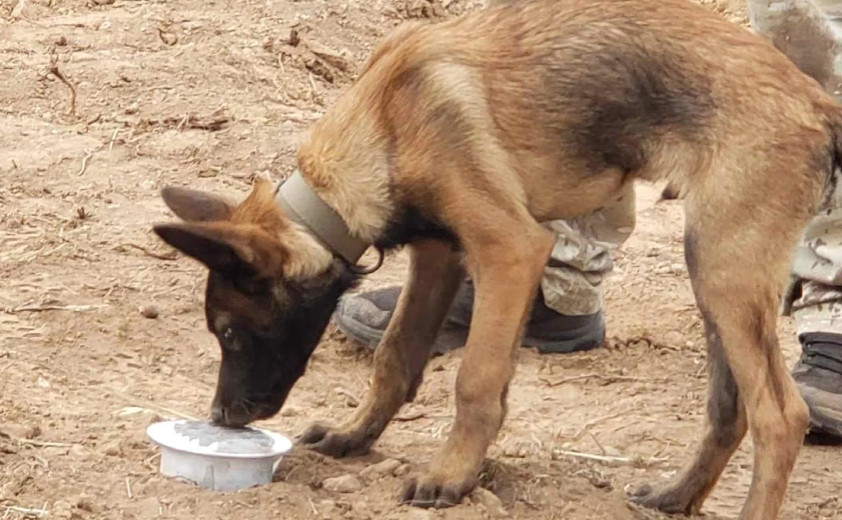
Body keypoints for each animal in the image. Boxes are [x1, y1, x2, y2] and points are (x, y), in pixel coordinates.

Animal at [153, 2, 840, 516]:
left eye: (230, 333)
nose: (220, 416)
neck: (386, 123)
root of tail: (813, 98)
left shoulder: (510, 250)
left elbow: (475, 379)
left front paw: (451, 476)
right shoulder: (441, 253)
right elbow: (395, 356)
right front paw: (356, 435)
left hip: (725, 267)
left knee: (781, 416)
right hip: (716, 268)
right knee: (730, 407)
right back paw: (677, 495)